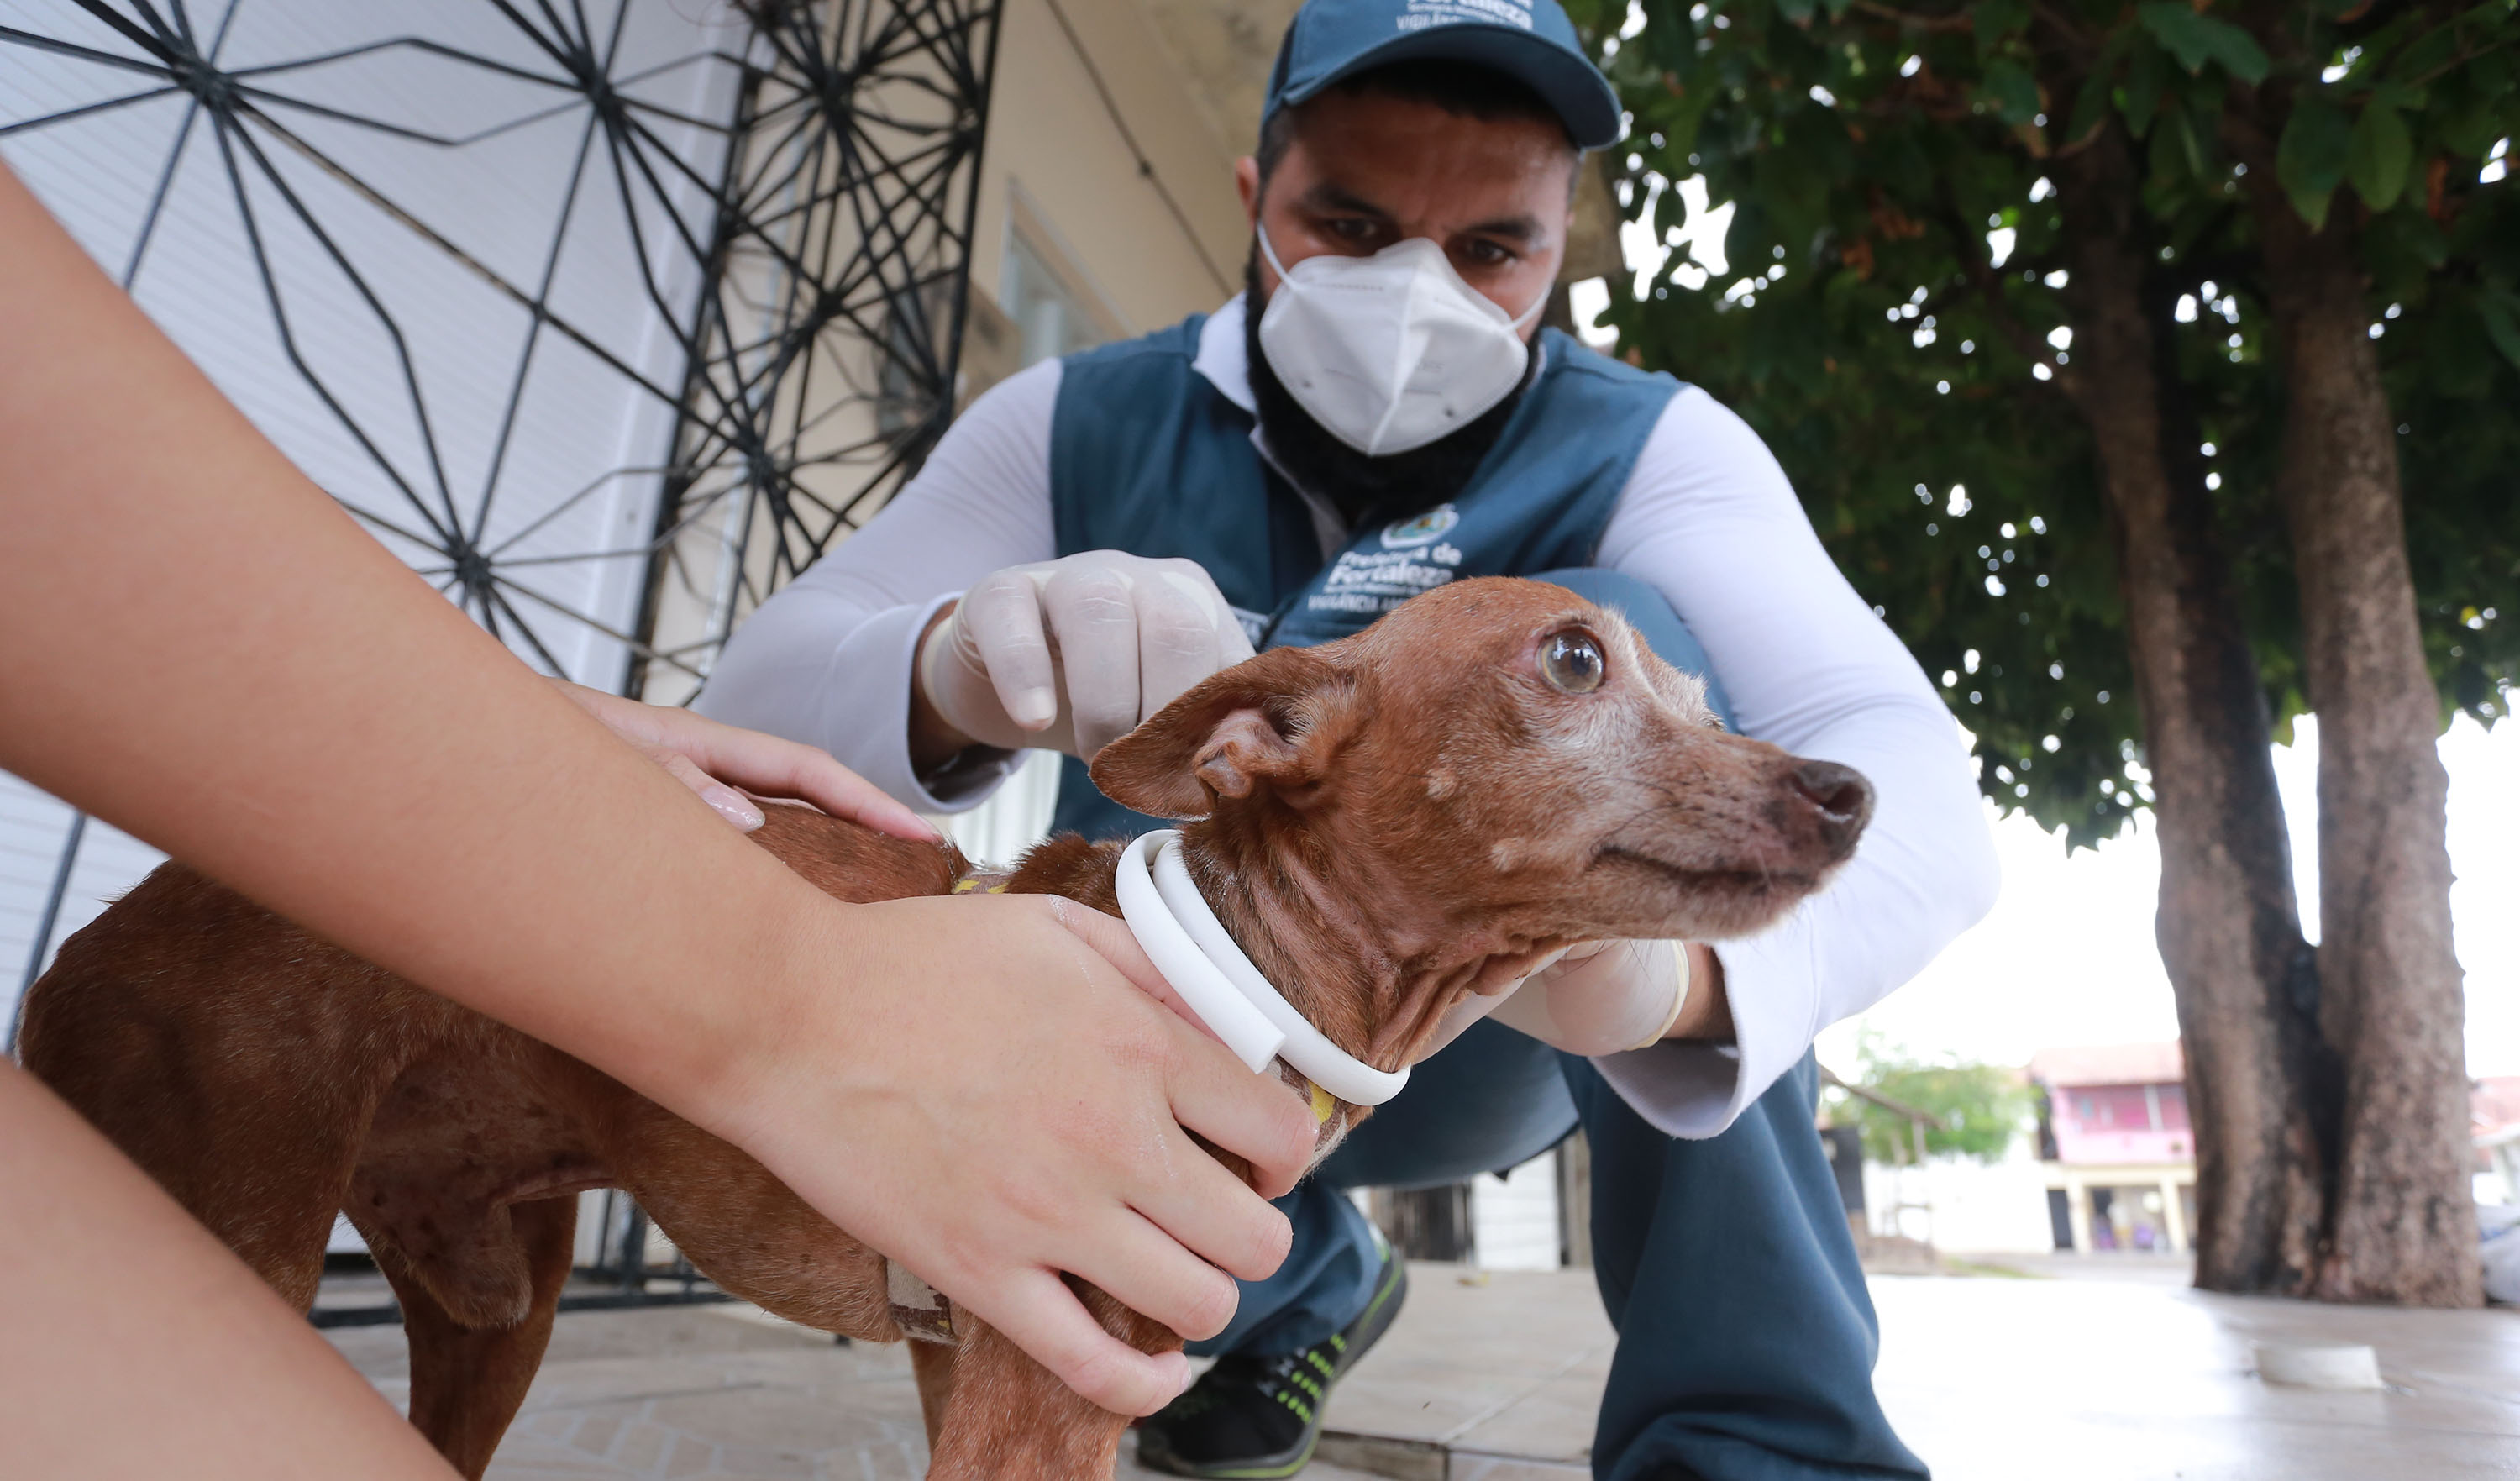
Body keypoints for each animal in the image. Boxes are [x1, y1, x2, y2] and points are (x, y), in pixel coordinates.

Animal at [14, 579, 1875, 1481]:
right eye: (1573, 658)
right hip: (249, 1238)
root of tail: (88, 943)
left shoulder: (969, 1365)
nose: (1850, 789)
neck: (1233, 967)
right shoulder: (1035, 1401)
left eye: (1700, 691)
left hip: (498, 1307)